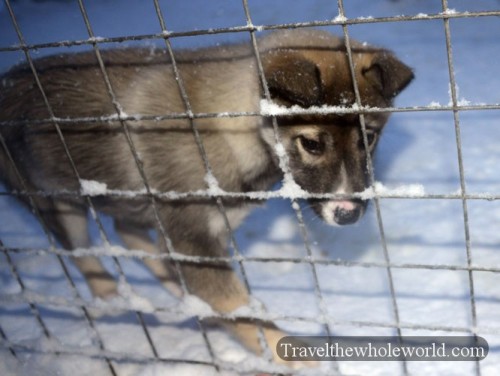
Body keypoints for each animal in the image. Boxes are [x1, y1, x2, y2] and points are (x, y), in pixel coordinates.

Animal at [0, 29, 414, 364]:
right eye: (311, 144)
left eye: (369, 138)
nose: (348, 214)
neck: (234, 128)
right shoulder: (193, 236)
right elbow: (241, 309)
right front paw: (295, 359)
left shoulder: (209, 228)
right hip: (53, 198)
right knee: (83, 252)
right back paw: (113, 297)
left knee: (127, 231)